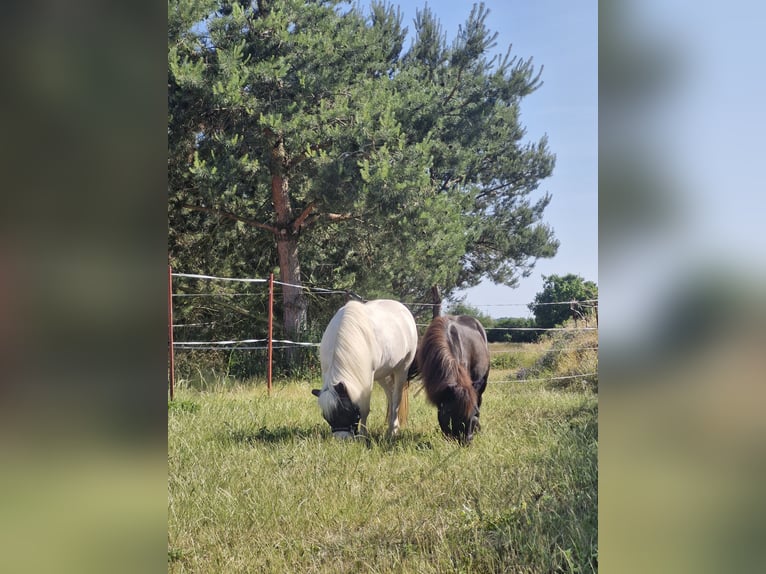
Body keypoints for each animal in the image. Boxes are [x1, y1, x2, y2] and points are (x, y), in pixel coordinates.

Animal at [311, 299, 418, 439]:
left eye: (346, 412)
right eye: (326, 416)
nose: (341, 439)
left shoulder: (367, 379)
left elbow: (365, 408)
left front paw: (363, 435)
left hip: (402, 369)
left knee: (396, 398)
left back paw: (393, 431)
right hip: (382, 375)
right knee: (390, 394)